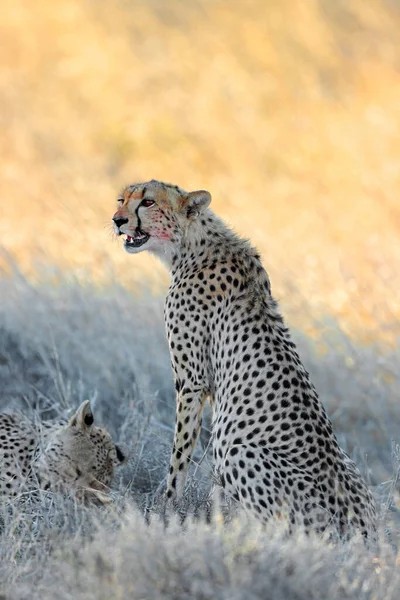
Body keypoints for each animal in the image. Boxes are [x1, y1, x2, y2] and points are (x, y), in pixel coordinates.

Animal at [113, 180, 378, 536]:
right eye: (121, 199)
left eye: (148, 202)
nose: (117, 220)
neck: (192, 243)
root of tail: (362, 530)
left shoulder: (191, 382)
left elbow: (180, 454)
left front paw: (166, 511)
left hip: (241, 450)